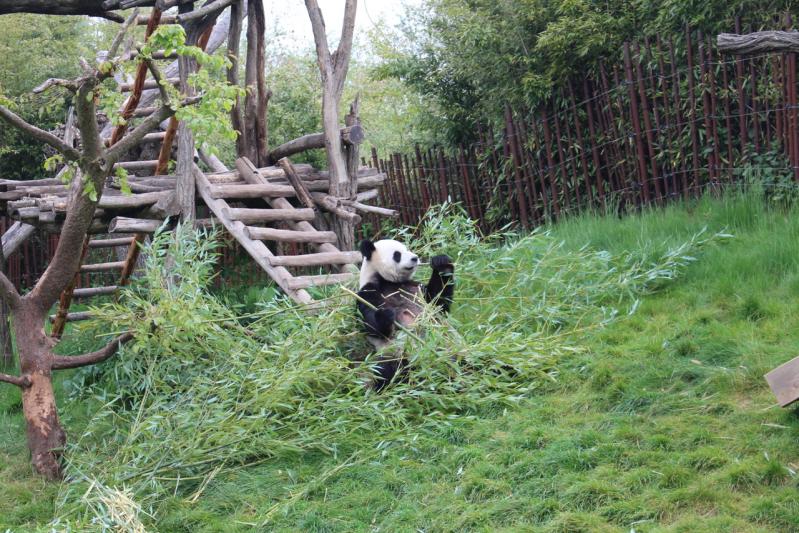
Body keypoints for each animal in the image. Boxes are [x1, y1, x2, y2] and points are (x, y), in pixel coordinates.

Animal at [356, 239, 456, 388]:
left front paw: (442, 263)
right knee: (389, 372)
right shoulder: (368, 291)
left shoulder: (416, 289)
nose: (415, 258)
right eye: (397, 255)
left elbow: (438, 303)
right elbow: (372, 326)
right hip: (396, 353)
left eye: (407, 249)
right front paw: (385, 315)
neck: (390, 281)